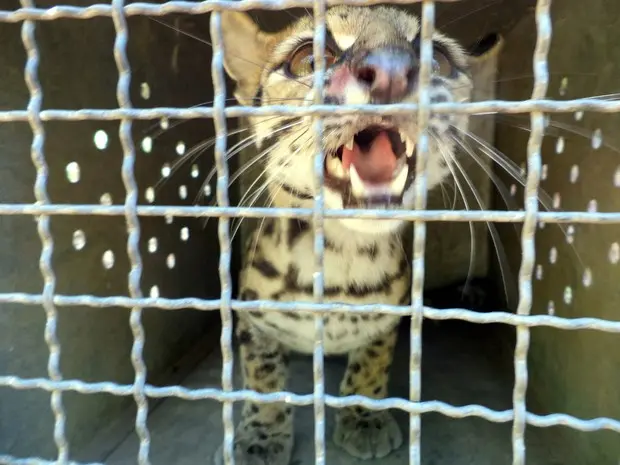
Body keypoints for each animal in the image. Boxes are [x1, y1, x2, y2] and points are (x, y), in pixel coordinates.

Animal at [213, 4, 498, 464]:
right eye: (308, 59)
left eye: (439, 59)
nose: (391, 71)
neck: (341, 254)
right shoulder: (251, 316)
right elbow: (263, 375)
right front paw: (262, 434)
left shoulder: (388, 319)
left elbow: (371, 363)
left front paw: (365, 418)